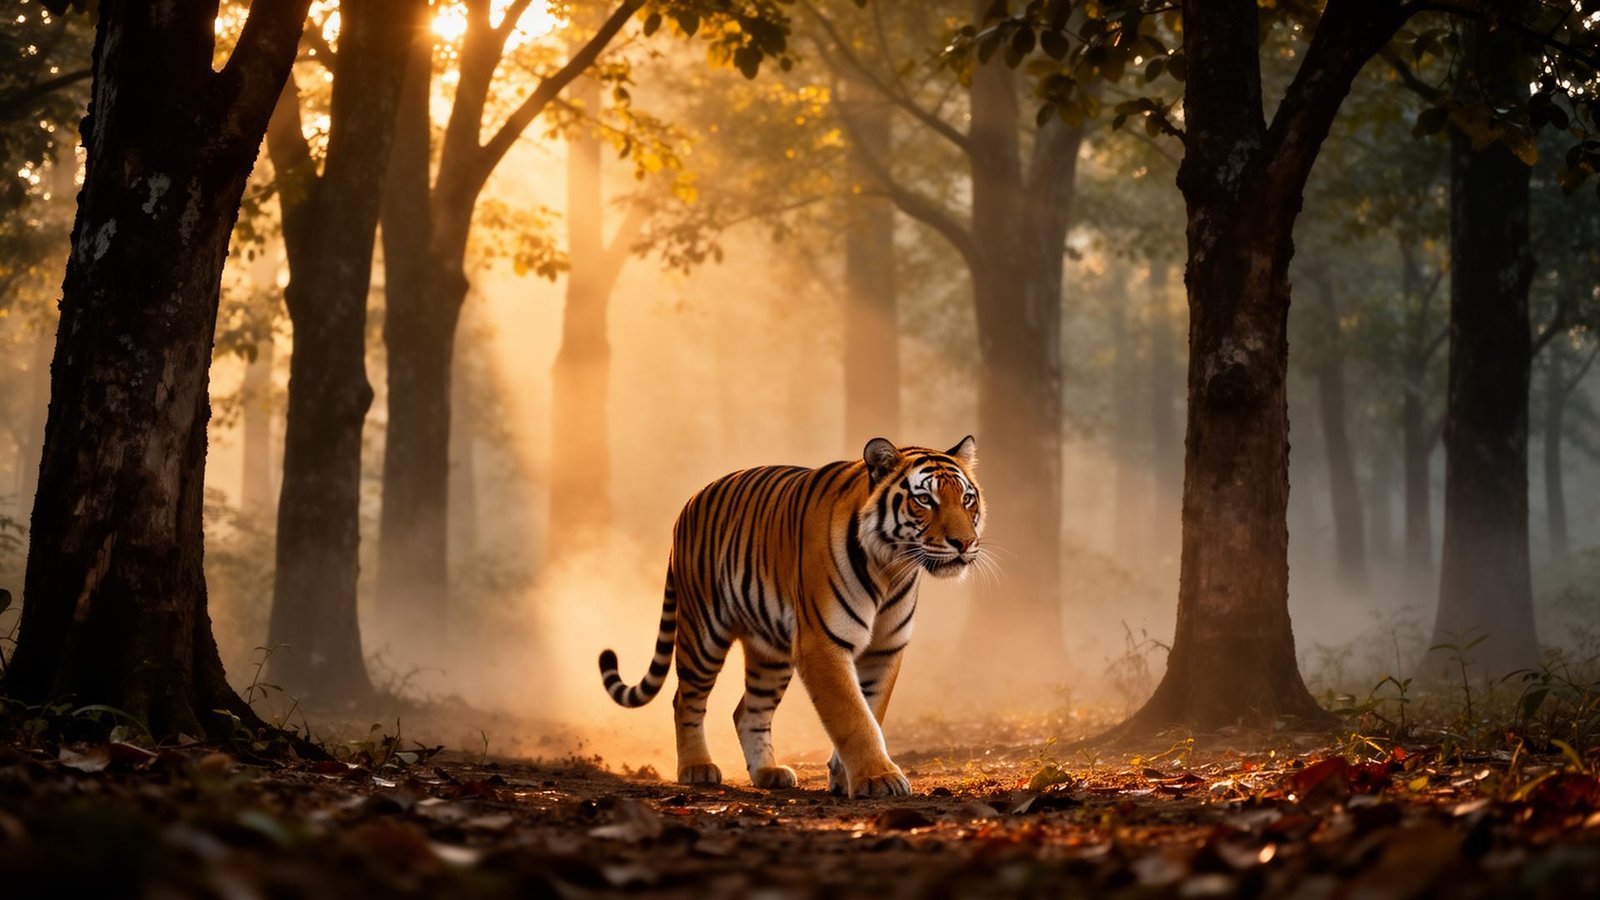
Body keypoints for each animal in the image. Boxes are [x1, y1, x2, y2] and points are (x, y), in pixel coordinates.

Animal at [597, 436, 985, 798]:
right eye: (925, 500)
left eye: (967, 499)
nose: (964, 543)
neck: (891, 569)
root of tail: (690, 501)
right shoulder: (822, 644)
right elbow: (853, 716)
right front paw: (879, 778)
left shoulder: (884, 649)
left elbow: (872, 709)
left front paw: (846, 777)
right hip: (703, 633)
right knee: (685, 699)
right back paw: (697, 767)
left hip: (770, 652)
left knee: (748, 711)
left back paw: (768, 772)